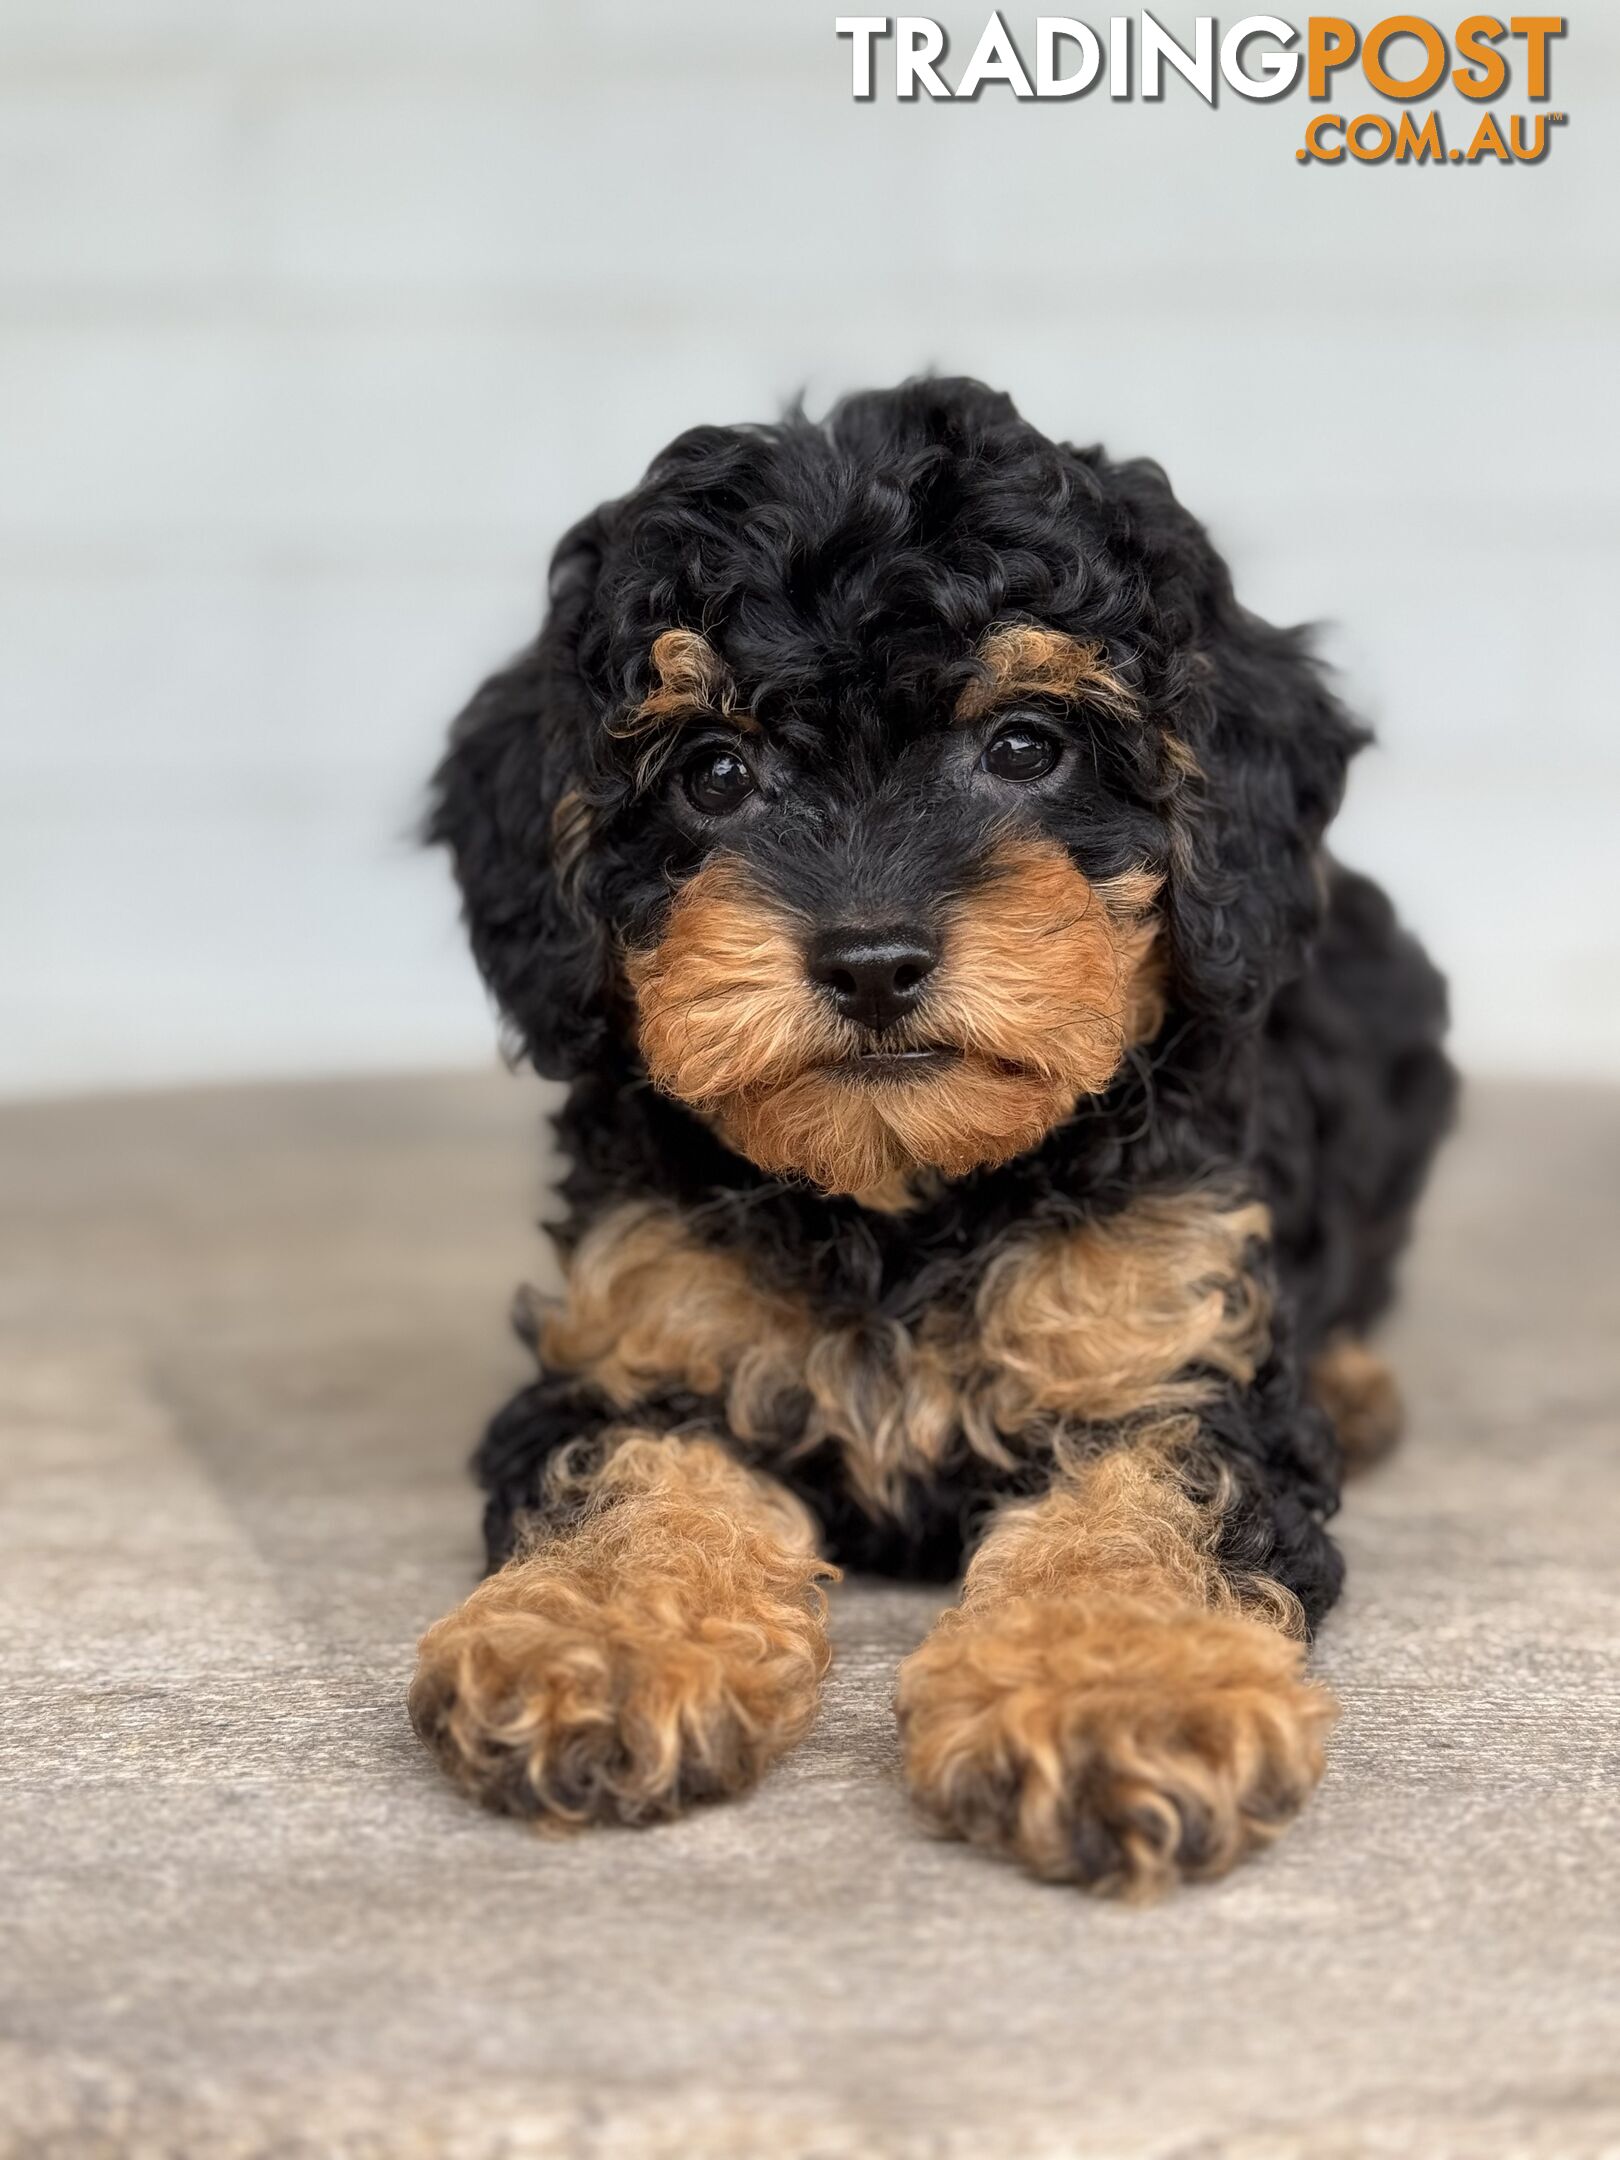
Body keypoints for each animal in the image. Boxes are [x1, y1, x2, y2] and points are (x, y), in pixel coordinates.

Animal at [408, 380, 1460, 1900]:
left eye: (1024, 744)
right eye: (713, 770)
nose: (870, 961)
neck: (902, 1201)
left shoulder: (1172, 1350)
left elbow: (1147, 1496)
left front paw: (1116, 1691)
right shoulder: (634, 1343)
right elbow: (630, 1471)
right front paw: (597, 1639)